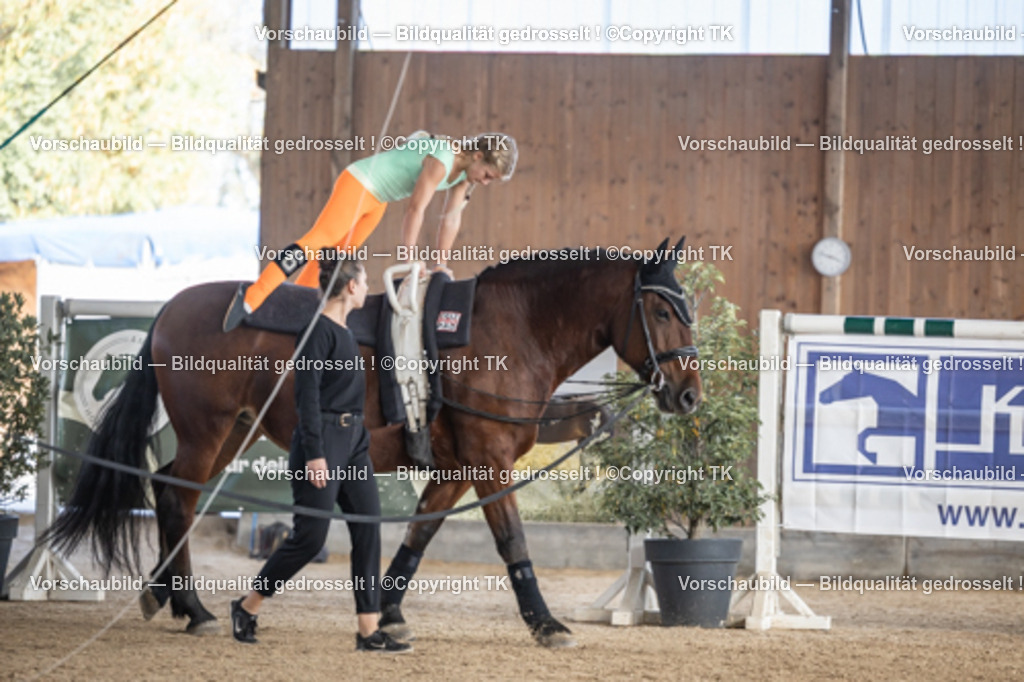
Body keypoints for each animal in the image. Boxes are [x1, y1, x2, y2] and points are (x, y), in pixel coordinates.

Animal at [45, 237, 702, 648]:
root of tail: (170, 309)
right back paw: (196, 609)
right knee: (177, 499)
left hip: (233, 430)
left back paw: (170, 599)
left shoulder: (455, 468)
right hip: (210, 430)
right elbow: (513, 541)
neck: (512, 330)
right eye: (662, 312)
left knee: (167, 489)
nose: (690, 394)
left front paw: (387, 611)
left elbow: (417, 537)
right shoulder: (488, 463)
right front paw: (546, 625)